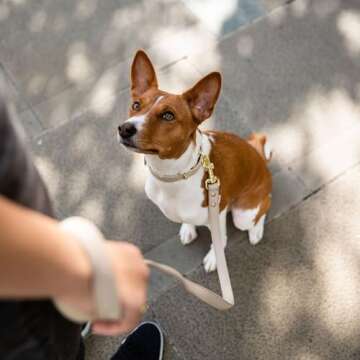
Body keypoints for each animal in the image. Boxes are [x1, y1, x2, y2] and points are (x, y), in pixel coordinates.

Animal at [119, 49, 272, 272]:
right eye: (136, 105)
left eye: (168, 115)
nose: (124, 128)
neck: (172, 176)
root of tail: (260, 158)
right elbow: (187, 220)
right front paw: (187, 228)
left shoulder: (218, 218)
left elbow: (219, 243)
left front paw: (214, 259)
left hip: (243, 215)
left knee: (263, 209)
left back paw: (256, 231)